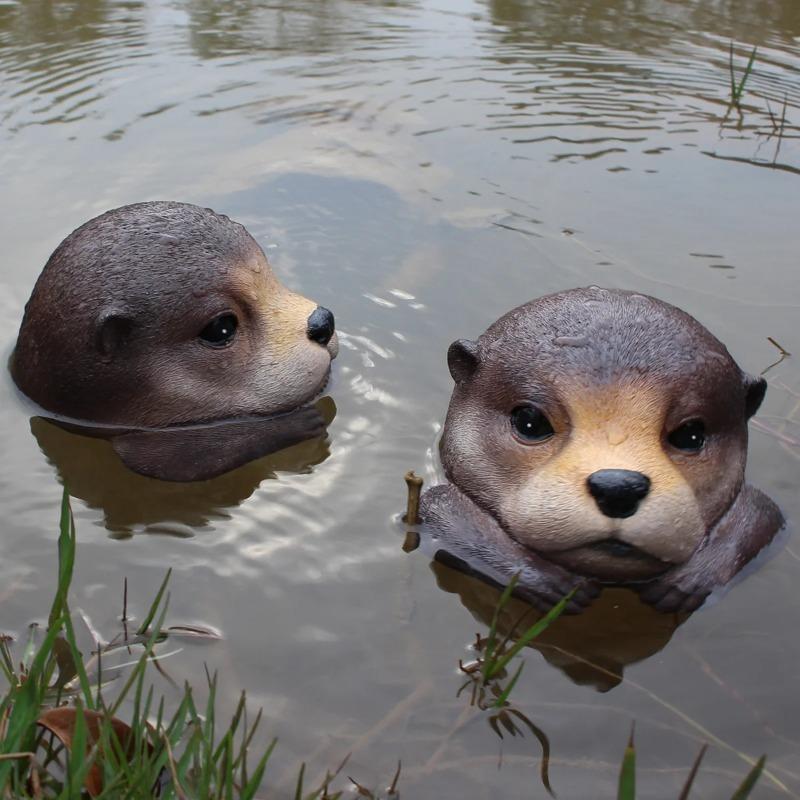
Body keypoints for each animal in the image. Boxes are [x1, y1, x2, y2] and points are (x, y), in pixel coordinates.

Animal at [419, 287, 784, 614]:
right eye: (529, 422)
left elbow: (763, 512)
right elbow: (437, 506)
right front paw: (550, 582)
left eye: (691, 435)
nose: (619, 486)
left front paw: (689, 579)